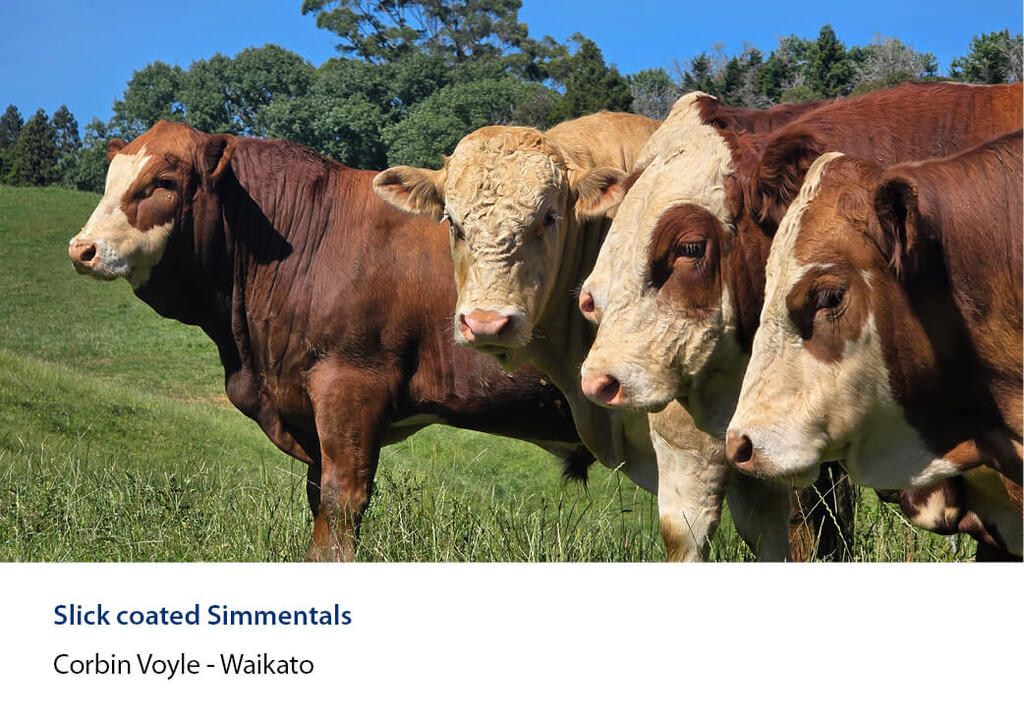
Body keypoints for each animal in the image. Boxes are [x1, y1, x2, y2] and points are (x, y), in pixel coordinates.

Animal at [66, 120, 597, 561]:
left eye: (163, 183)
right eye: (110, 179)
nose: (81, 249)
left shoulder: (349, 387)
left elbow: (342, 500)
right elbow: (318, 496)